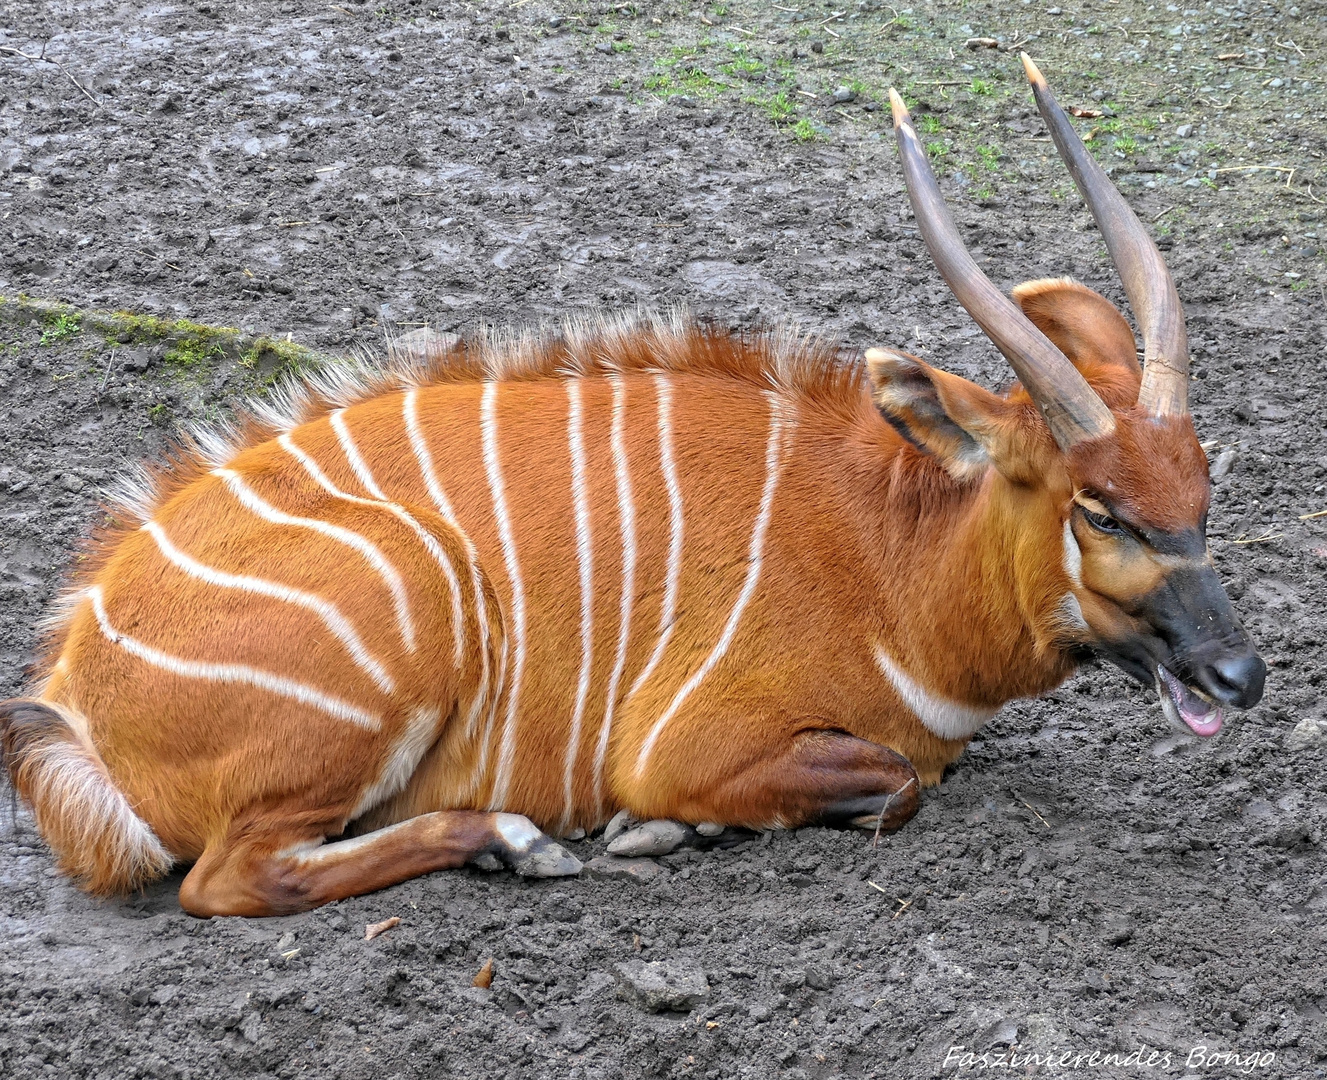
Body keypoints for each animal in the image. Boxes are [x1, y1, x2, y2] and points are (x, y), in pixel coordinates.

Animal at [2, 59, 1263, 918]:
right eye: (1098, 507)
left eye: (1205, 486)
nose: (1237, 675)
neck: (889, 556)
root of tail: (71, 697)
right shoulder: (687, 747)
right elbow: (897, 781)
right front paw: (656, 836)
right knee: (230, 878)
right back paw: (520, 840)